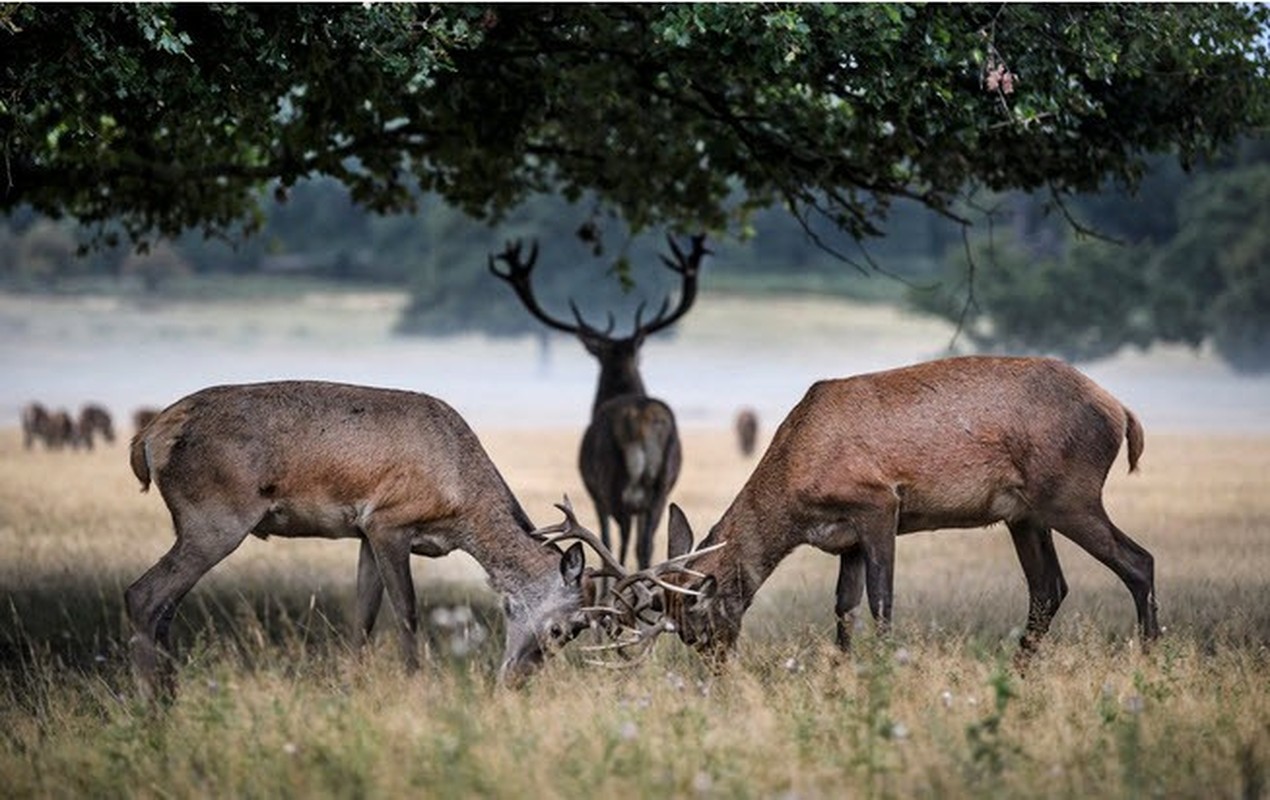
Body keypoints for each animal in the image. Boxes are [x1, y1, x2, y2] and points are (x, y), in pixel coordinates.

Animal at [123, 383, 589, 700]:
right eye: (562, 629)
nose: (514, 681)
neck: (459, 501)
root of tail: (147, 438)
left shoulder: (365, 534)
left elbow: (362, 615)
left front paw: (353, 686)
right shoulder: (388, 521)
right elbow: (407, 612)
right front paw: (417, 688)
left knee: (164, 605)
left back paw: (169, 694)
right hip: (215, 519)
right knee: (144, 594)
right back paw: (157, 705)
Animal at [487, 236, 711, 571]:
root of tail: (640, 417)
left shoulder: (596, 493)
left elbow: (605, 538)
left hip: (614, 484)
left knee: (619, 542)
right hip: (660, 488)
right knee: (645, 543)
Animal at [589, 360, 1158, 665]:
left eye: (697, 621)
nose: (717, 670)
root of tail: (1122, 412)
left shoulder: (879, 502)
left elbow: (882, 601)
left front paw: (882, 670)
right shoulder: (846, 540)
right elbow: (844, 607)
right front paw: (843, 671)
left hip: (1070, 493)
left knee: (1138, 561)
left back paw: (1151, 659)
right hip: (1025, 513)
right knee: (1049, 587)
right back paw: (1019, 669)